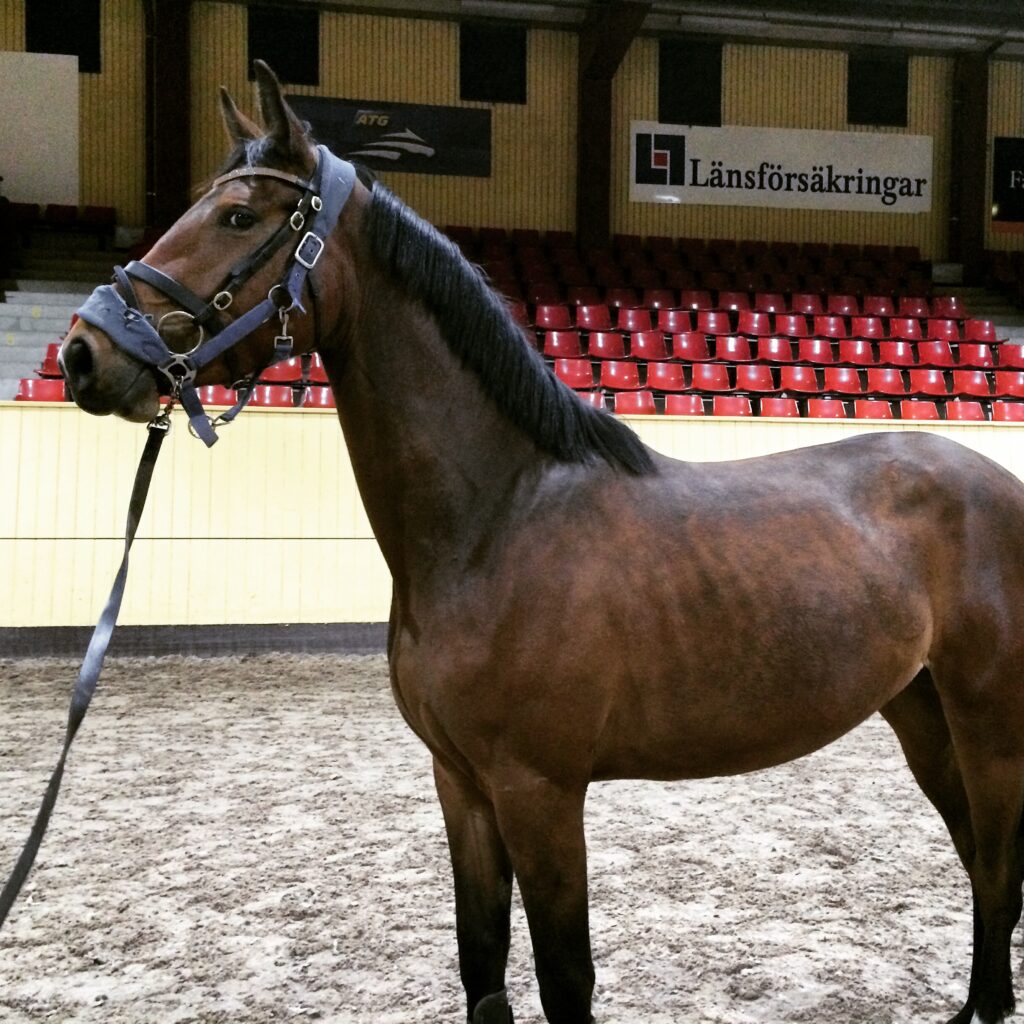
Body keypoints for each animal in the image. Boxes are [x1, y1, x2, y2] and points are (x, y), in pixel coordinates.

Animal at [59, 64, 1024, 1024]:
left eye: (237, 217)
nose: (82, 353)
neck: (499, 522)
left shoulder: (540, 791)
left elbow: (565, 976)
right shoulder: (462, 785)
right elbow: (482, 960)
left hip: (988, 727)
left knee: (996, 869)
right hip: (921, 712)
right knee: (983, 867)